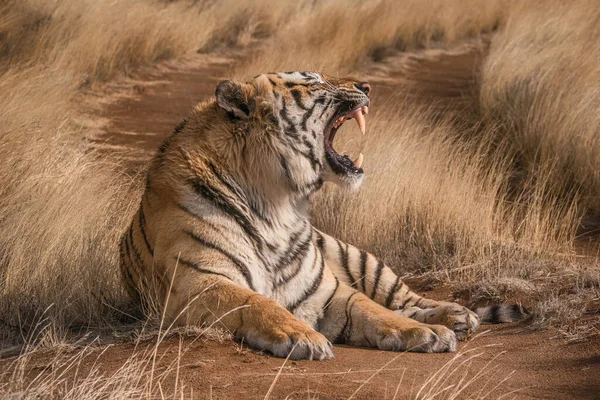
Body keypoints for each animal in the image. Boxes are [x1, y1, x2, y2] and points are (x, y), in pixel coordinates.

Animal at [119, 71, 524, 360]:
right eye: (312, 80)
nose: (366, 84)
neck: (278, 203)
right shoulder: (199, 283)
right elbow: (260, 302)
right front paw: (301, 336)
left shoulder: (325, 290)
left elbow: (374, 309)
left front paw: (429, 334)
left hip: (361, 258)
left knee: (406, 300)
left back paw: (456, 316)